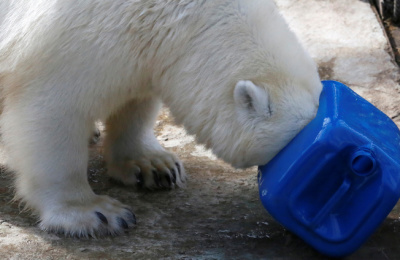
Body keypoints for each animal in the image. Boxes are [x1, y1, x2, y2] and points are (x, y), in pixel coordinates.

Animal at [0, 0, 322, 237]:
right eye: (290, 149)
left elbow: (136, 102)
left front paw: (153, 166)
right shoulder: (72, 40)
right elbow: (53, 111)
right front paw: (95, 213)